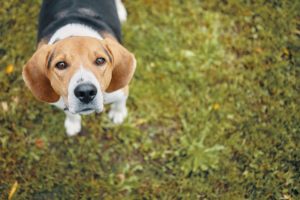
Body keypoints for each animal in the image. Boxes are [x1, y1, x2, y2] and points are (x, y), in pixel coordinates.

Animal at [22, 0, 136, 136]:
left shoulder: (120, 91)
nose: (86, 92)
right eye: (61, 65)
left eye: (100, 60)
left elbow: (120, 102)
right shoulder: (62, 102)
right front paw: (73, 124)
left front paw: (118, 114)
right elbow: (70, 113)